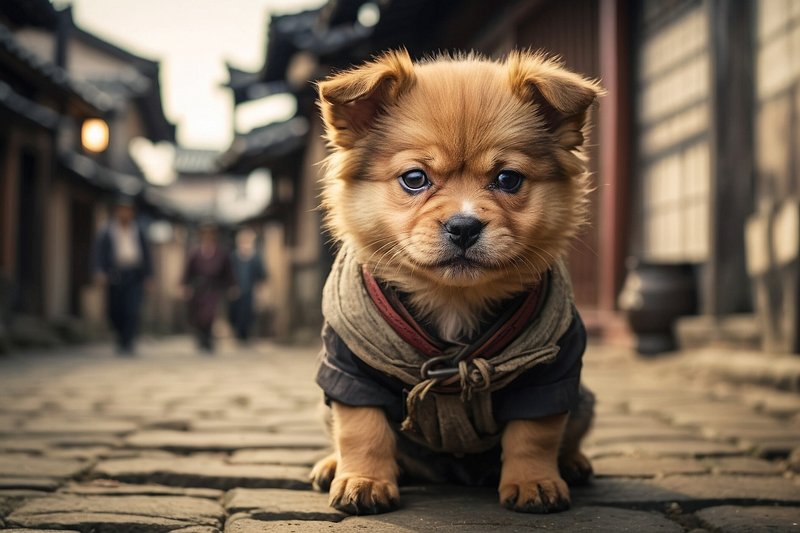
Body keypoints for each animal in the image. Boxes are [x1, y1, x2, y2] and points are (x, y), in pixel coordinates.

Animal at [310, 51, 604, 516]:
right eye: (414, 178)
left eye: (508, 179)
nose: (463, 226)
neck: (453, 298)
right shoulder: (349, 365)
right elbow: (361, 428)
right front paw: (364, 481)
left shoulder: (552, 370)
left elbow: (535, 433)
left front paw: (534, 482)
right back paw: (331, 465)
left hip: (584, 399)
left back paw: (572, 463)